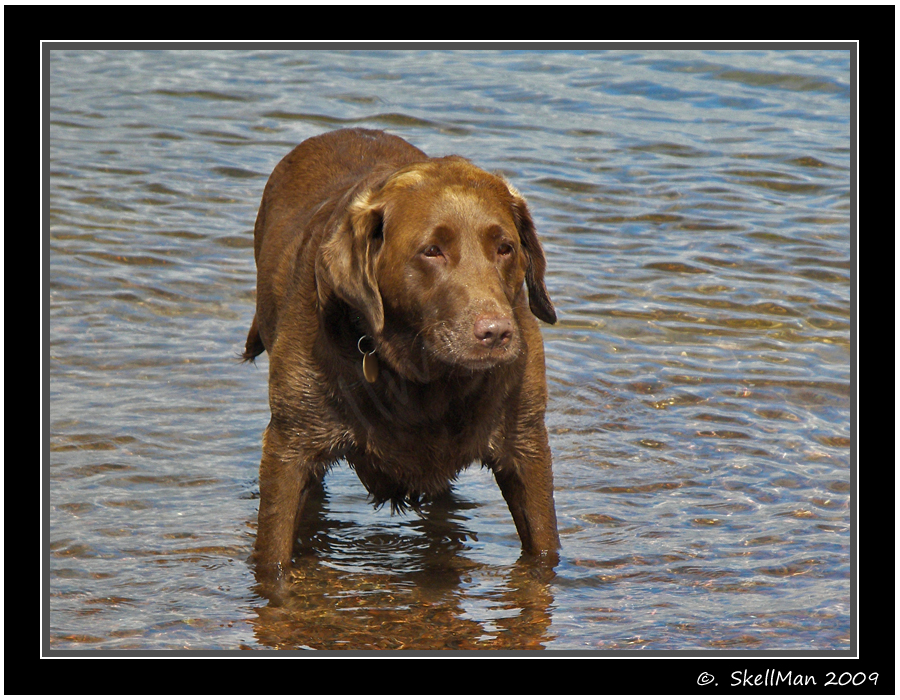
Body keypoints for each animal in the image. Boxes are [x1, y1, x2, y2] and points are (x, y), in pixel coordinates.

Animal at [243, 127, 560, 580]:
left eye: (505, 248)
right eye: (432, 251)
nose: (497, 333)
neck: (424, 379)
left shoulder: (527, 445)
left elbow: (544, 548)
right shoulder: (290, 447)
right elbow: (273, 556)